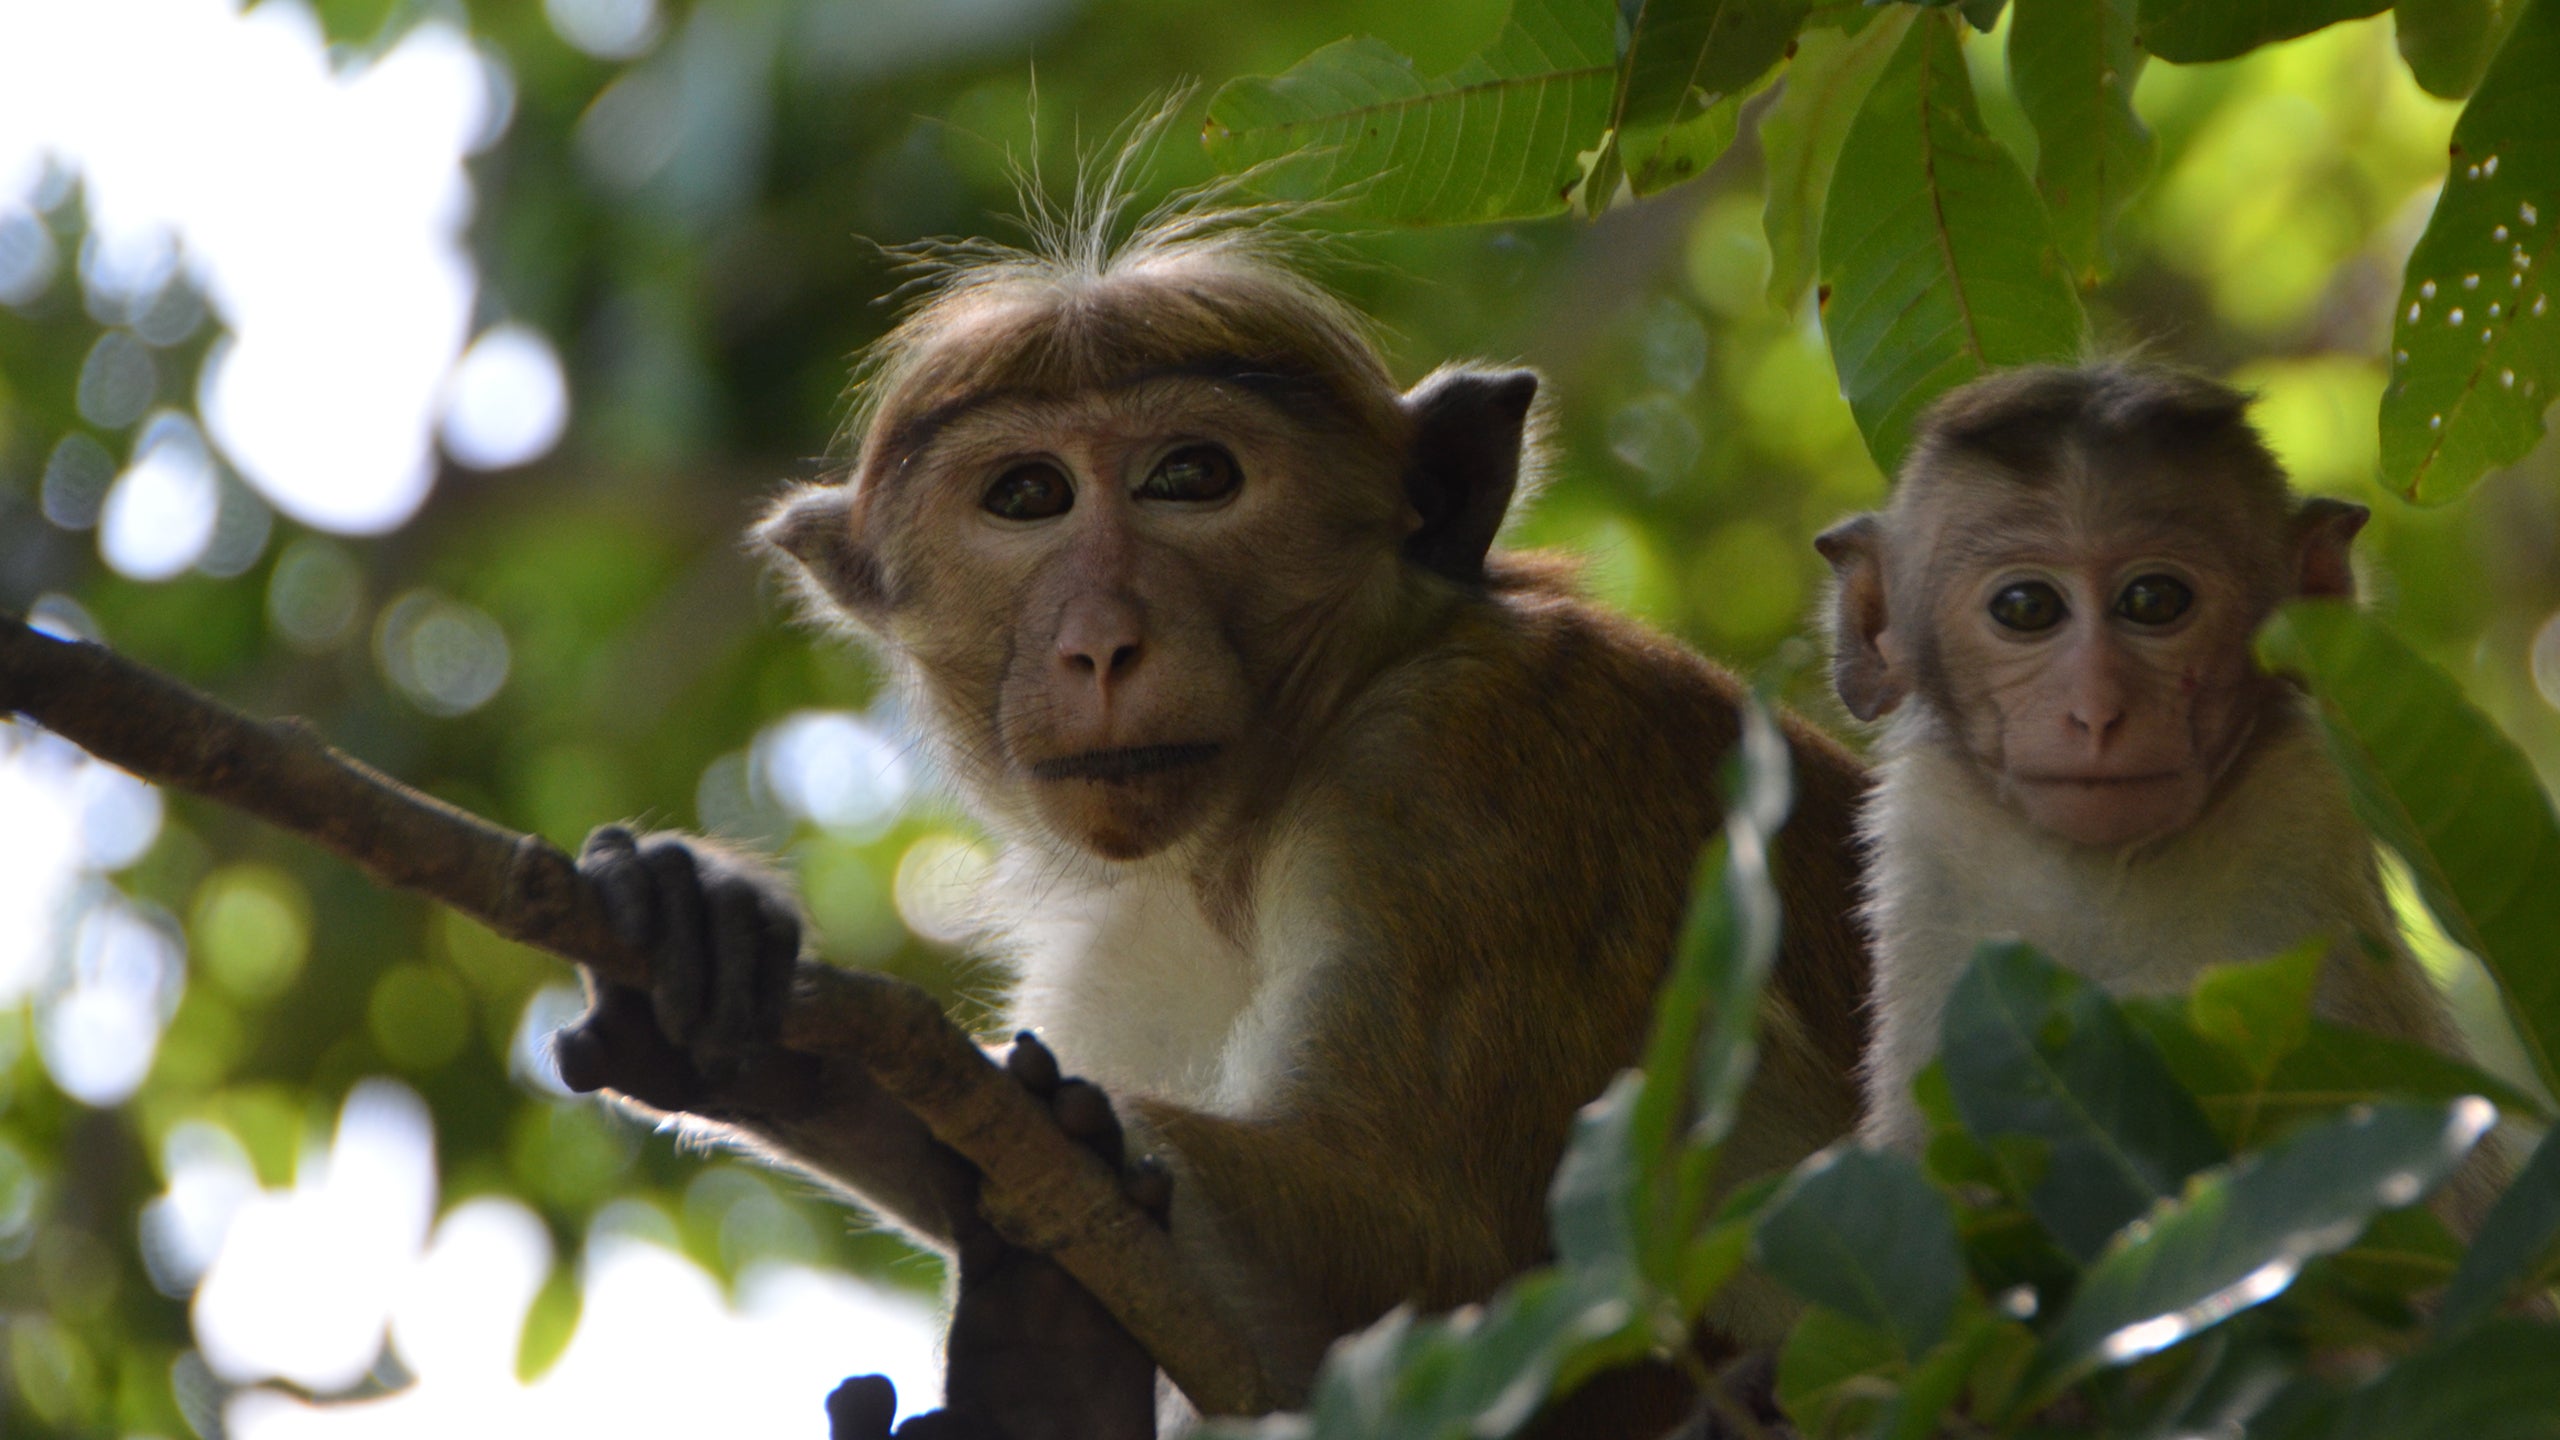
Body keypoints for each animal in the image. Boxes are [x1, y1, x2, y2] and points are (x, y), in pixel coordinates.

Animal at [550, 212, 1876, 1433]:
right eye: (1026, 496)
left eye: (1190, 478)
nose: (1100, 641)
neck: (1251, 823)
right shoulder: (1126, 929)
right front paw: (744, 997)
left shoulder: (1476, 773)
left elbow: (1445, 1270)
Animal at [1814, 362, 2495, 1221]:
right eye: (2026, 609)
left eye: (2153, 601)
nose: (2098, 710)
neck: (2107, 874)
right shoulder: (1929, 850)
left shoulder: (2299, 837)